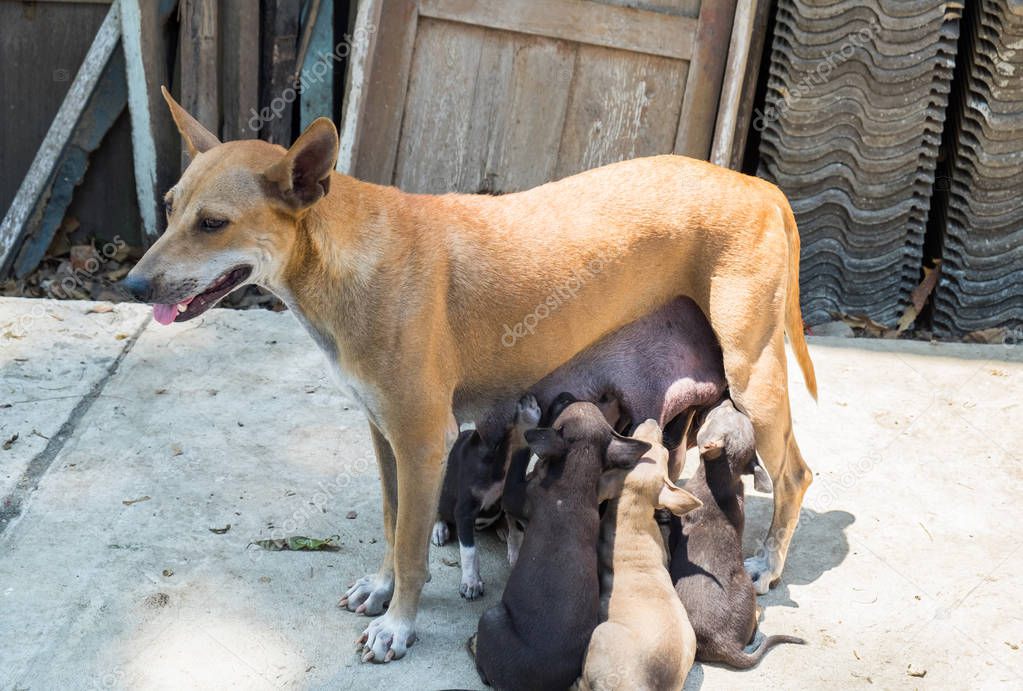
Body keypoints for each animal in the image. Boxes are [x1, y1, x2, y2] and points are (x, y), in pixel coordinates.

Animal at [470, 399, 646, 691]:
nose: (566, 397)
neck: (576, 474)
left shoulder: (517, 496)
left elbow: (520, 448)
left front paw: (526, 419)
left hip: (491, 617)